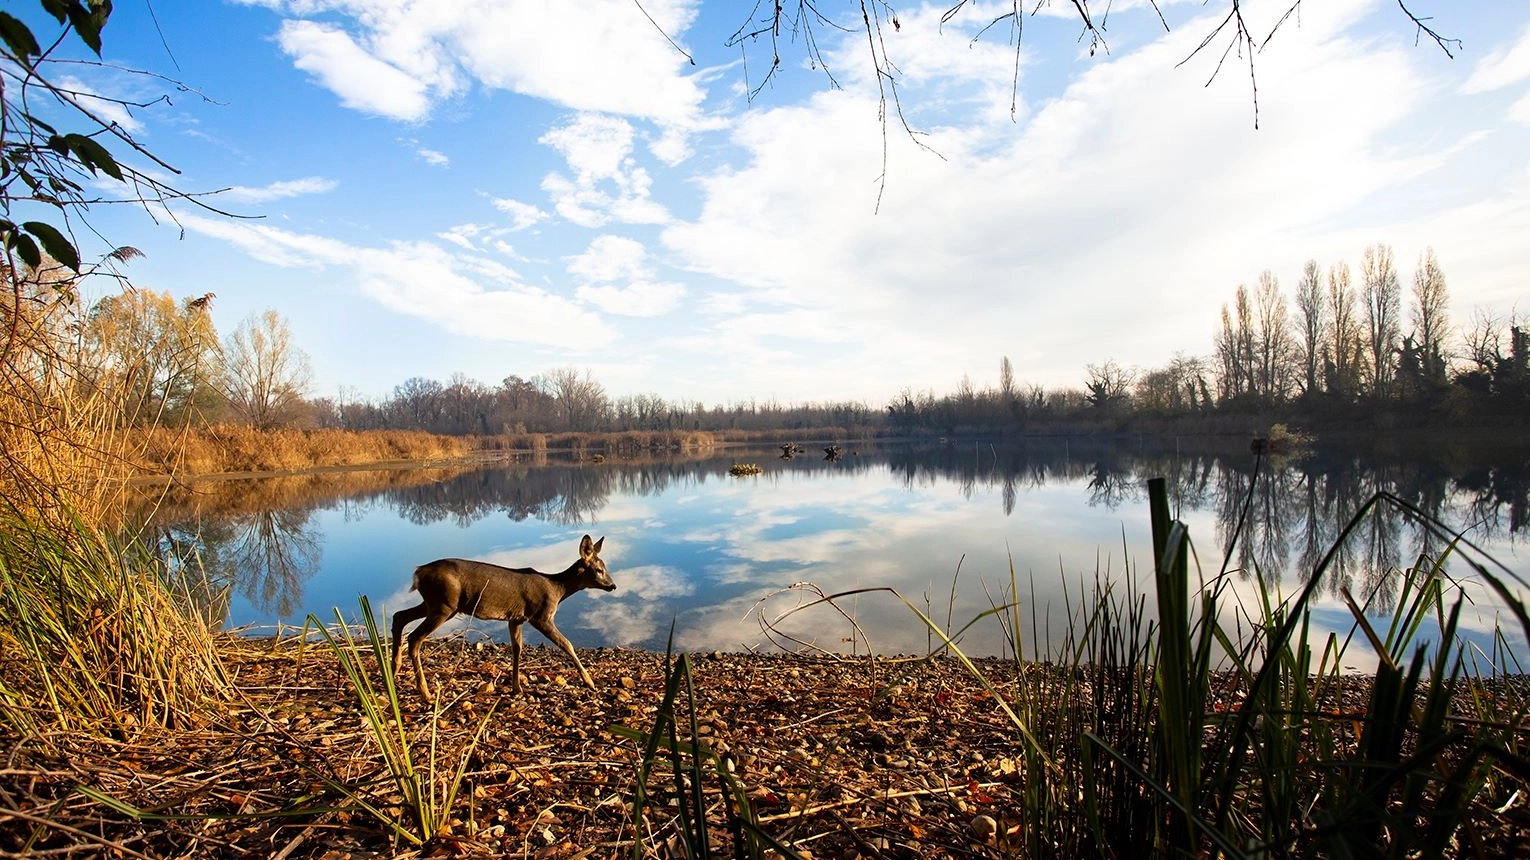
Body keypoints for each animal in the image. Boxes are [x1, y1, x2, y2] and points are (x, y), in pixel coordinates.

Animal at [388, 529, 615, 703]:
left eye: (605, 567)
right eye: (598, 569)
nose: (612, 585)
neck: (557, 589)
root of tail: (418, 572)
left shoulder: (516, 618)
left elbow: (517, 649)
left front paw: (517, 687)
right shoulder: (540, 616)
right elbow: (567, 644)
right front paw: (589, 682)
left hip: (433, 603)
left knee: (399, 616)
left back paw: (393, 670)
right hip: (444, 605)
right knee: (414, 637)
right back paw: (425, 692)